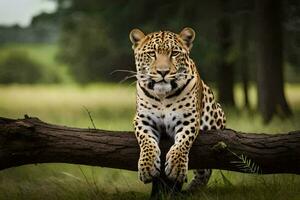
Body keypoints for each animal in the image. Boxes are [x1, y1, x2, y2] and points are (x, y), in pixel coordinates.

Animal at [129, 27, 225, 189]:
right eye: (152, 53)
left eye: (174, 53)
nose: (163, 71)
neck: (162, 96)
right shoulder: (143, 119)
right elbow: (146, 141)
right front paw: (147, 167)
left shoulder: (188, 119)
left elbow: (183, 142)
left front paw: (176, 168)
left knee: (205, 171)